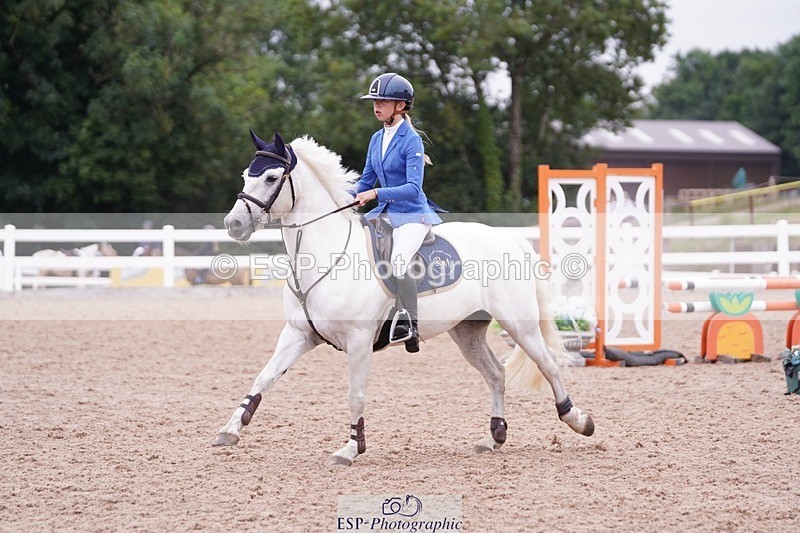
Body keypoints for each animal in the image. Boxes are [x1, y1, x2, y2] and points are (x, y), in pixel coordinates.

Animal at [213, 131, 594, 465]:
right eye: (246, 175)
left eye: (271, 177)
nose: (233, 224)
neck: (326, 253)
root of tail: (509, 238)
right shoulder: (298, 334)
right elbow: (263, 377)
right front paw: (230, 430)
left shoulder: (359, 340)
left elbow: (355, 395)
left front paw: (350, 449)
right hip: (467, 331)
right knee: (496, 373)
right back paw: (493, 437)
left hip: (519, 324)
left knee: (548, 364)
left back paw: (578, 420)